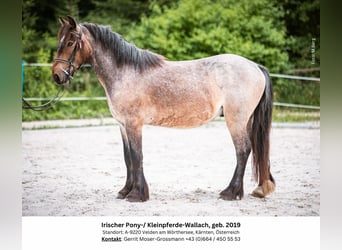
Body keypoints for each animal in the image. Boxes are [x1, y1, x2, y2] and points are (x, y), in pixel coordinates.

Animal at [51, 16, 276, 201]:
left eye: (70, 42)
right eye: (59, 41)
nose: (57, 75)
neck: (125, 72)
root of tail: (255, 67)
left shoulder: (134, 124)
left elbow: (137, 156)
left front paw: (136, 195)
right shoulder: (123, 126)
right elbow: (127, 158)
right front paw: (125, 191)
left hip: (235, 121)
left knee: (243, 150)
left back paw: (230, 192)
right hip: (246, 120)